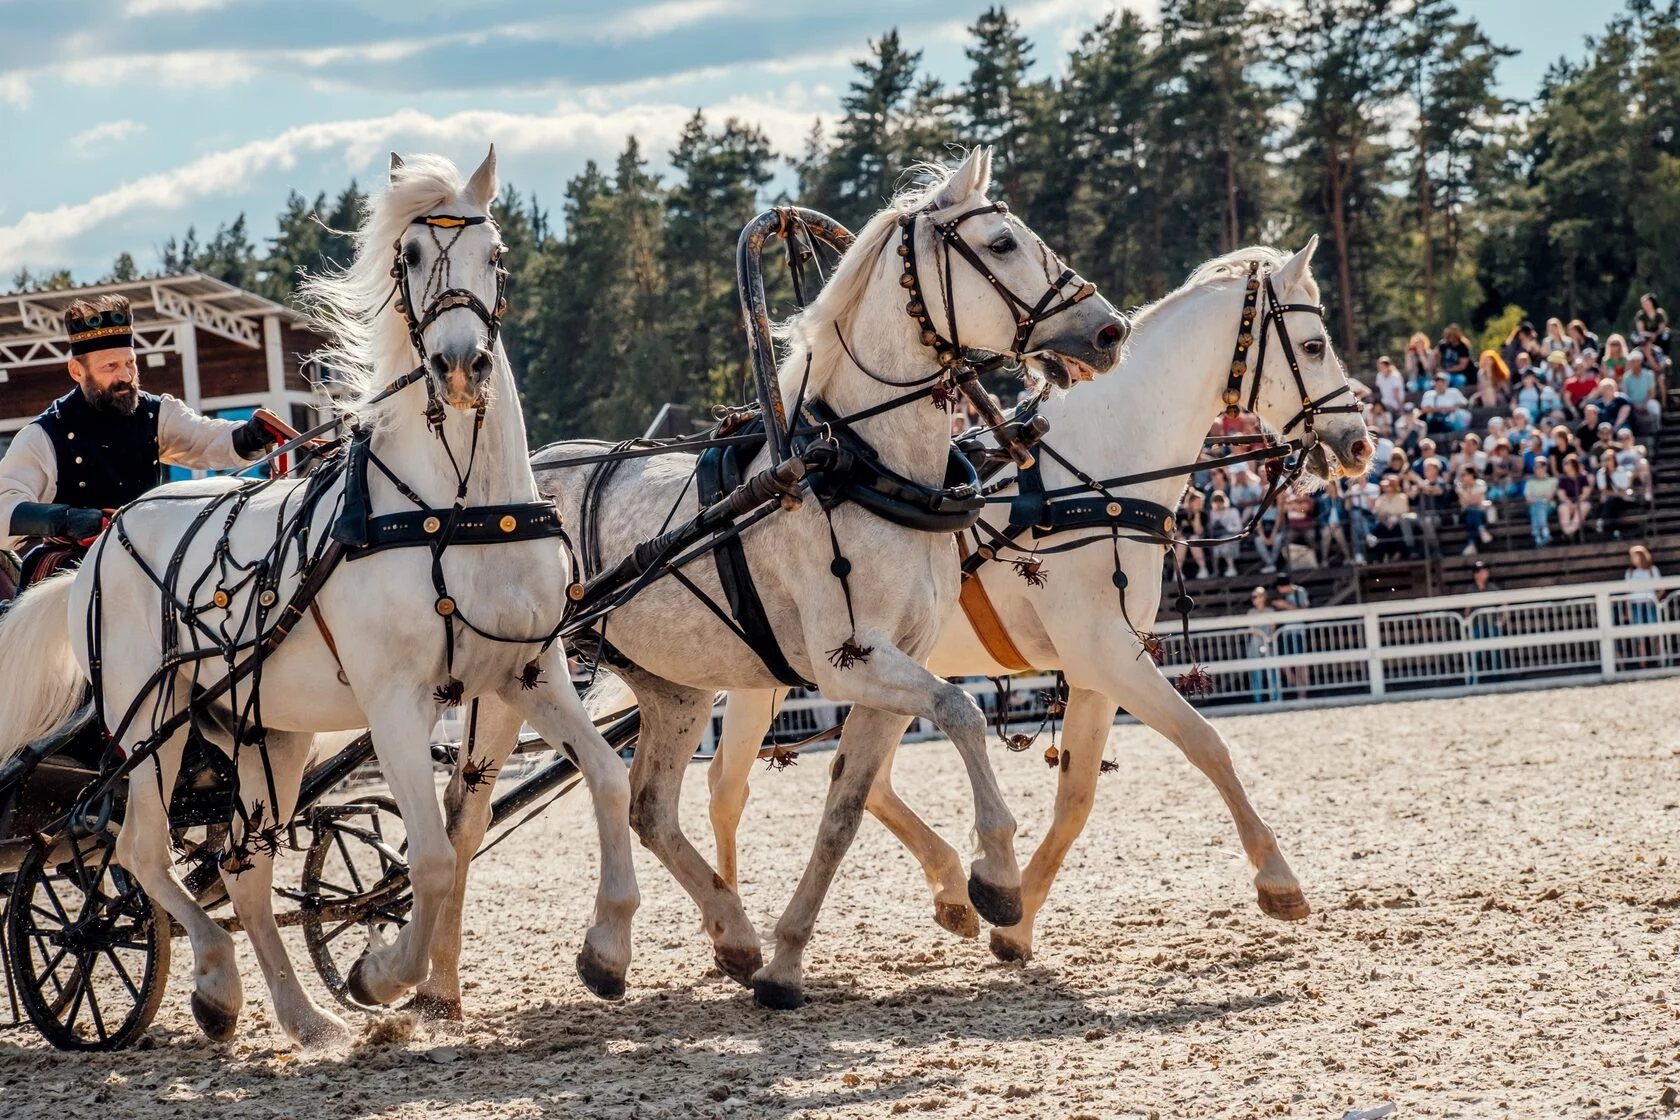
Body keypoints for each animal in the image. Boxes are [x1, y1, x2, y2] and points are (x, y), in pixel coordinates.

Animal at [0, 144, 638, 1047]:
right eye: (411, 255)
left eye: (496, 254)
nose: (459, 366)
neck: (453, 507)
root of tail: (102, 545)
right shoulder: (396, 700)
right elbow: (431, 856)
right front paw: (384, 974)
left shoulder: (531, 672)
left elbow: (603, 782)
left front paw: (605, 951)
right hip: (149, 725)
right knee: (137, 855)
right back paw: (214, 982)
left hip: (267, 734)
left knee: (242, 867)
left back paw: (300, 1017)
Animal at [411, 148, 1128, 1014]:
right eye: (999, 244)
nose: (1109, 329)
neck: (855, 464)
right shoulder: (851, 660)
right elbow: (961, 713)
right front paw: (994, 877)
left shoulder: (893, 667)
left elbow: (846, 808)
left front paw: (788, 959)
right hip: (507, 682)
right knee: (467, 811)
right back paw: (440, 984)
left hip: (675, 688)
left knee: (650, 810)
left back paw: (707, 939)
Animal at [702, 245, 1370, 967]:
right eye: (1314, 345)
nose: (1360, 444)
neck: (1097, 476)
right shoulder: (1105, 652)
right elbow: (1207, 743)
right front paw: (1277, 879)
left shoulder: (1097, 666)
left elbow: (1077, 797)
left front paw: (1015, 921)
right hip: (770, 678)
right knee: (727, 786)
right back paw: (730, 927)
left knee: (861, 782)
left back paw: (948, 890)